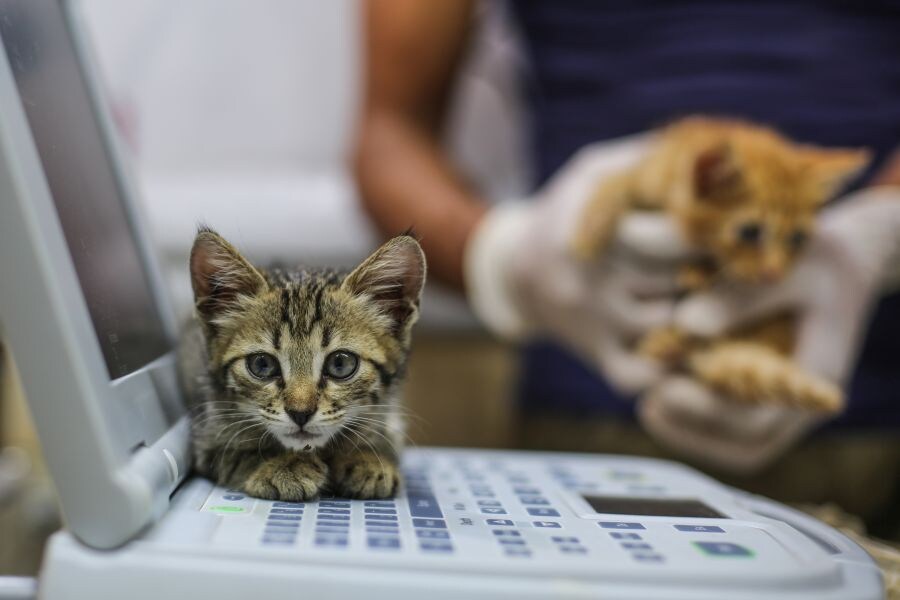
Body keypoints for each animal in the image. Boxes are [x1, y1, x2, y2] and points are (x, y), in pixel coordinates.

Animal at [181, 230, 428, 502]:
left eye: (340, 364)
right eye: (262, 364)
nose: (300, 413)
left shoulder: (392, 418)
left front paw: (368, 458)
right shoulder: (205, 435)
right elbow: (232, 453)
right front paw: (281, 465)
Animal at [572, 116, 868, 412]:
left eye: (797, 237)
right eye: (750, 232)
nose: (773, 274)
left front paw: (700, 272)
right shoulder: (651, 171)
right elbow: (621, 180)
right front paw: (592, 226)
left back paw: (672, 343)